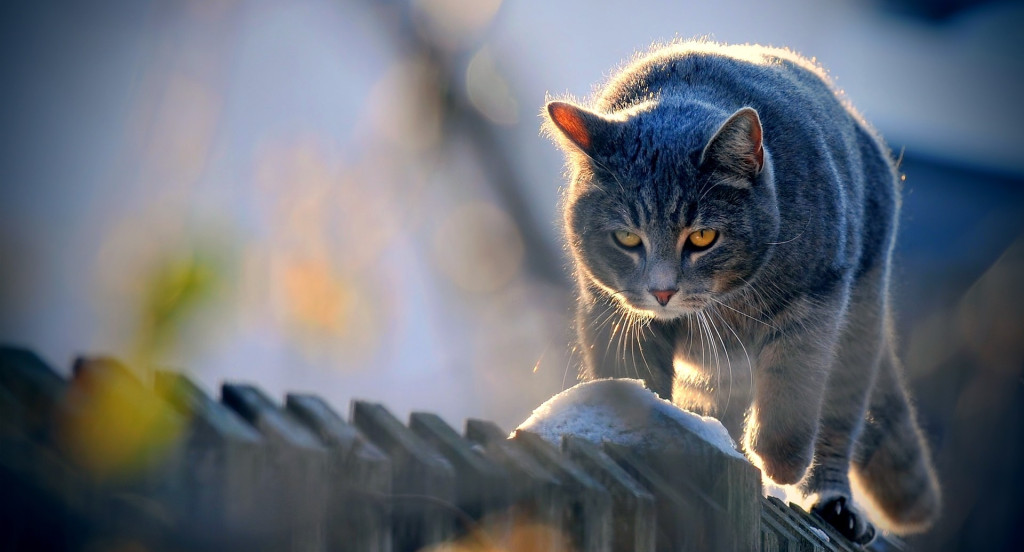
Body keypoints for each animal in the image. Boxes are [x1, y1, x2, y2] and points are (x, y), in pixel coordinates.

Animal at [544, 42, 942, 544]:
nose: (662, 291)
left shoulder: (817, 301)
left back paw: (832, 503)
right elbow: (635, 379)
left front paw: (779, 462)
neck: (726, 305)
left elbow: (792, 390)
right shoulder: (613, 315)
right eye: (628, 239)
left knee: (837, 420)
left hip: (860, 324)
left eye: (702, 237)